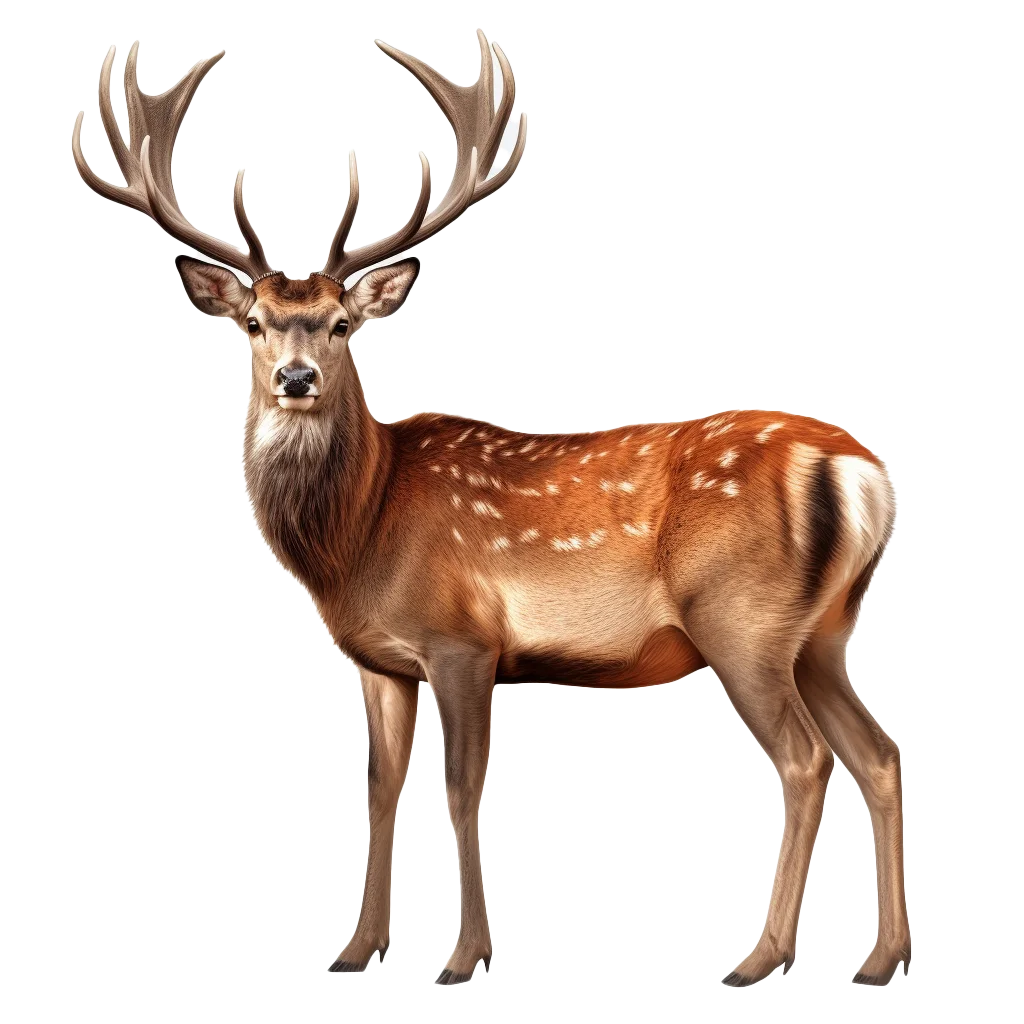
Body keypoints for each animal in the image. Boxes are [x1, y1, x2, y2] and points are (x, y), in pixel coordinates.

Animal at [71, 32, 909, 989]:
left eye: (340, 325)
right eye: (252, 322)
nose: (296, 378)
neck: (357, 536)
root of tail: (863, 473)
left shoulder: (463, 638)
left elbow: (461, 788)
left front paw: (465, 954)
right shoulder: (382, 660)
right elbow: (380, 787)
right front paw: (357, 948)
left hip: (743, 618)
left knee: (808, 760)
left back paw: (759, 955)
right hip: (823, 632)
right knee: (880, 752)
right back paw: (881, 957)